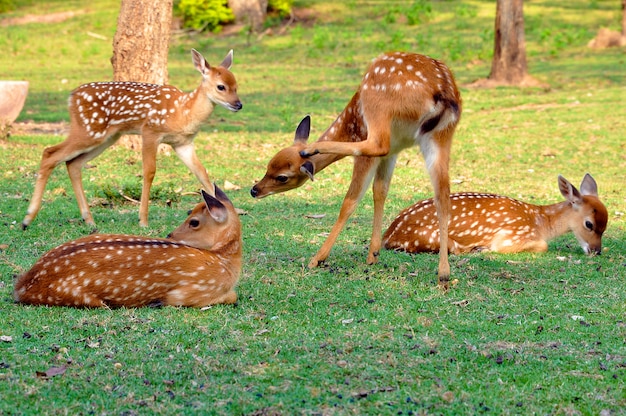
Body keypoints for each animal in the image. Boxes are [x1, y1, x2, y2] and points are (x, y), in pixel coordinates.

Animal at [15, 186, 239, 308]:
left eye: (194, 221)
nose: (170, 235)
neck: (225, 263)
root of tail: (21, 287)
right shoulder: (191, 292)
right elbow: (233, 296)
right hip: (78, 296)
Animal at [22, 50, 241, 231]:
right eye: (221, 87)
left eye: (236, 86)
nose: (238, 104)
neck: (184, 112)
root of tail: (71, 98)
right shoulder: (150, 131)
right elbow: (149, 172)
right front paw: (143, 220)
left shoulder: (183, 143)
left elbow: (202, 173)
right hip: (88, 130)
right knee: (50, 153)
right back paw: (27, 219)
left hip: (106, 137)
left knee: (73, 163)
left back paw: (89, 220)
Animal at [249, 52, 458, 290]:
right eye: (268, 165)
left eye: (282, 177)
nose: (254, 190)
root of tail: (442, 91)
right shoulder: (393, 152)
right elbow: (380, 190)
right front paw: (373, 254)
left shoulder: (372, 146)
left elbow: (350, 202)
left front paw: (319, 259)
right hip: (441, 136)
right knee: (443, 194)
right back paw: (443, 274)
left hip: (378, 107)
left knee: (376, 144)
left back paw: (312, 149)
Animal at [382, 174, 608, 255]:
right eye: (589, 224)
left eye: (605, 228)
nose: (596, 251)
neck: (541, 221)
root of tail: (389, 235)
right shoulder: (511, 236)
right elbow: (542, 246)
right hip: (435, 237)